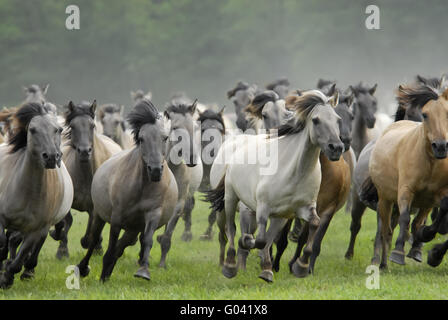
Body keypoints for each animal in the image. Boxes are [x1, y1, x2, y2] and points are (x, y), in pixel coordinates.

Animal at [364, 84, 448, 268]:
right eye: (425, 114)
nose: (440, 146)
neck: (430, 164)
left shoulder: (436, 195)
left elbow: (437, 213)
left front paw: (427, 244)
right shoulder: (405, 189)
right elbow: (404, 219)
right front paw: (397, 253)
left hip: (425, 203)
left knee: (417, 223)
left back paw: (417, 248)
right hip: (385, 199)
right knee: (386, 231)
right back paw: (383, 264)